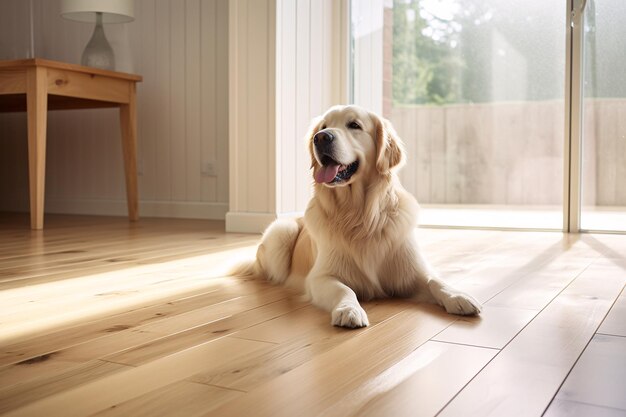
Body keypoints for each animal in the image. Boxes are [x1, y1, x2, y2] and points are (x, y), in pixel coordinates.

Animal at [239, 105, 478, 328]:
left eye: (354, 125)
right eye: (324, 126)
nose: (321, 137)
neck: (359, 214)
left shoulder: (412, 270)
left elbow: (435, 281)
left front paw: (458, 295)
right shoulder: (320, 277)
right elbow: (344, 290)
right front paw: (349, 310)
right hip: (282, 231)